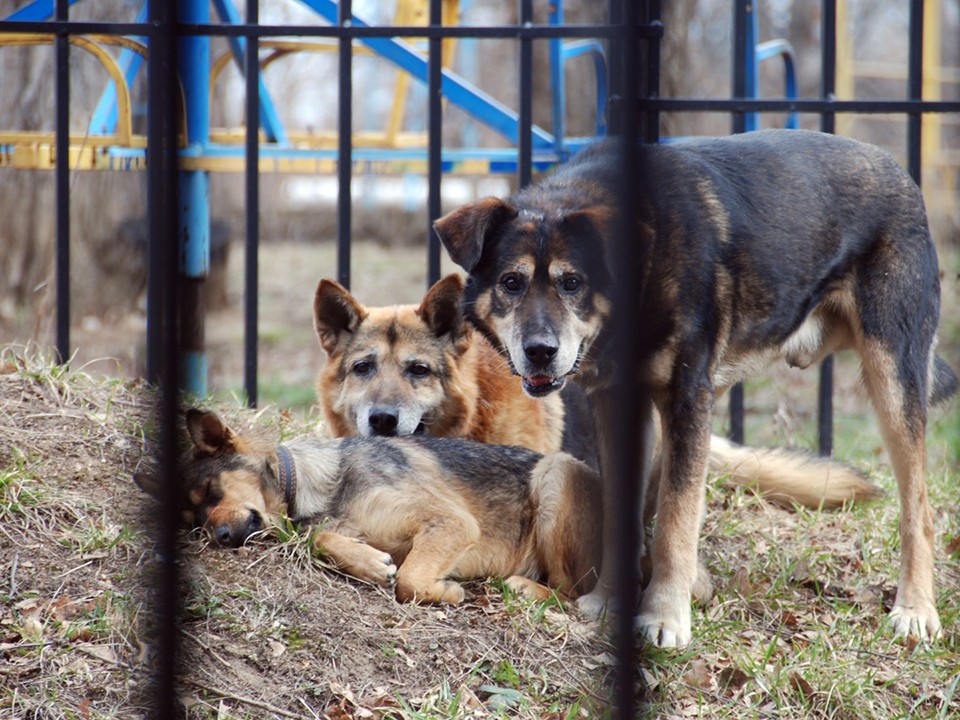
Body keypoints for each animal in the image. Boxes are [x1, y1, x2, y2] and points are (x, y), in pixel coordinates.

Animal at [137, 408, 600, 604]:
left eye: (212, 491)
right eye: (192, 522)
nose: (219, 537)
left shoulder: (452, 522)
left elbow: (410, 580)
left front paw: (444, 592)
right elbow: (322, 540)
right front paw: (369, 563)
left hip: (555, 474)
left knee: (576, 594)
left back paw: (526, 588)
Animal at [436, 125, 960, 648]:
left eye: (572, 282)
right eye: (511, 282)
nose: (540, 351)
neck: (642, 270)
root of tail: (897, 170)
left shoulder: (687, 397)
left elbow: (676, 519)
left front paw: (665, 618)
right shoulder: (623, 404)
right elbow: (622, 513)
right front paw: (610, 601)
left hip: (890, 376)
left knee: (918, 509)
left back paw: (916, 609)